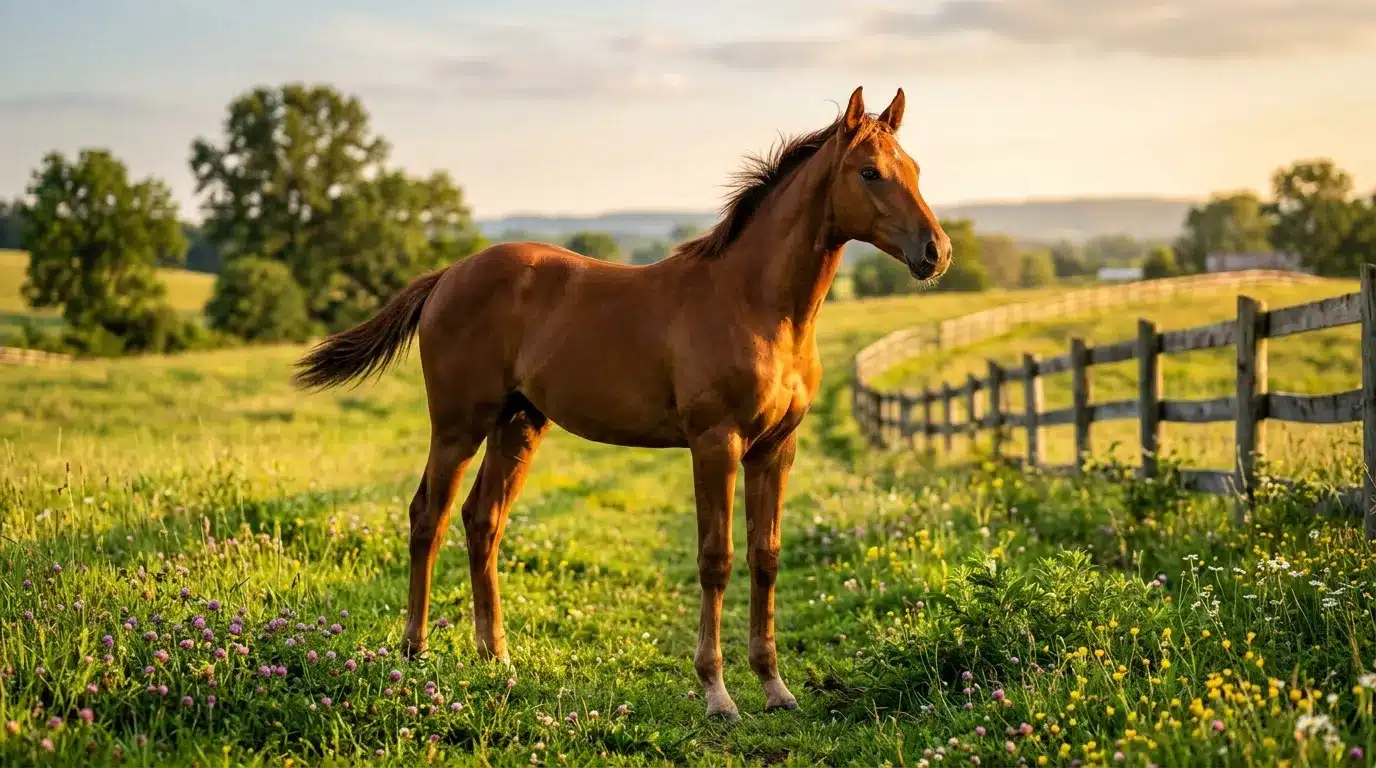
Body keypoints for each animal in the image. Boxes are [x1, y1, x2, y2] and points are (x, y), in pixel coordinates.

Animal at [292, 86, 952, 721]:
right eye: (869, 172)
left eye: (916, 168)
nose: (936, 252)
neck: (757, 305)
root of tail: (449, 274)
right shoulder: (715, 444)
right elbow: (716, 559)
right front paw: (717, 694)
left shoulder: (775, 449)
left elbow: (765, 557)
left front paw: (774, 687)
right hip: (459, 424)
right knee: (427, 515)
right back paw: (416, 650)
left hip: (519, 424)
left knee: (483, 519)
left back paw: (496, 656)